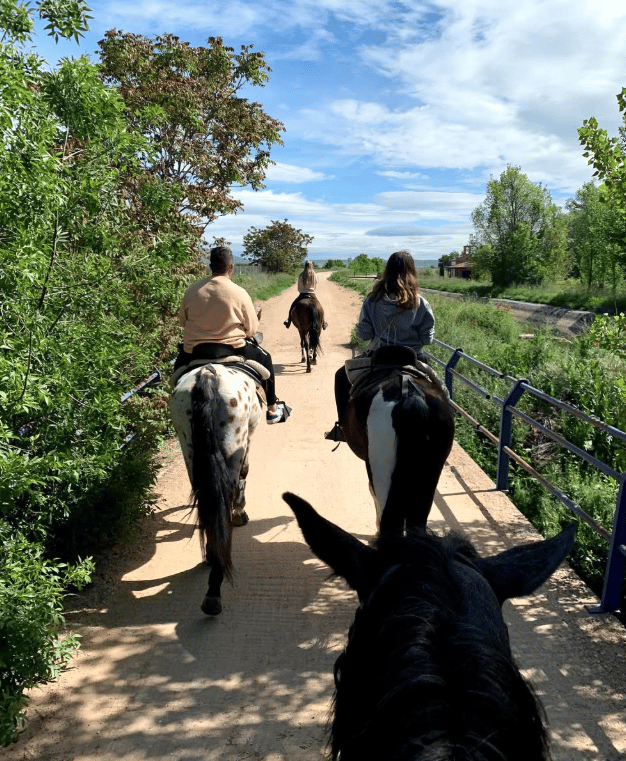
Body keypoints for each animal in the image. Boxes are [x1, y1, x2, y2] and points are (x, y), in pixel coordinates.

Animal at [168, 358, 265, 615]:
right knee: (225, 496)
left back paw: (212, 558)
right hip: (234, 441)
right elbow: (244, 477)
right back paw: (214, 589)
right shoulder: (247, 442)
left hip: (189, 446)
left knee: (207, 499)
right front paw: (240, 514)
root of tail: (208, 374)